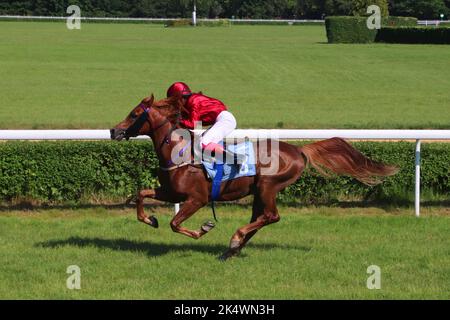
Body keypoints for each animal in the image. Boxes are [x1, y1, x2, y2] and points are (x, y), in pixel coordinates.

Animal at [111, 95, 398, 260]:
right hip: (260, 191)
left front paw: (203, 228)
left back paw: (235, 239)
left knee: (271, 216)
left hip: (268, 185)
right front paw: (150, 219)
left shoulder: (197, 198)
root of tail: (298, 150)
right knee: (260, 218)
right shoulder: (171, 192)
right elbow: (141, 194)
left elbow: (175, 223)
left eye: (135, 114)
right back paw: (232, 249)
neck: (179, 154)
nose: (114, 131)